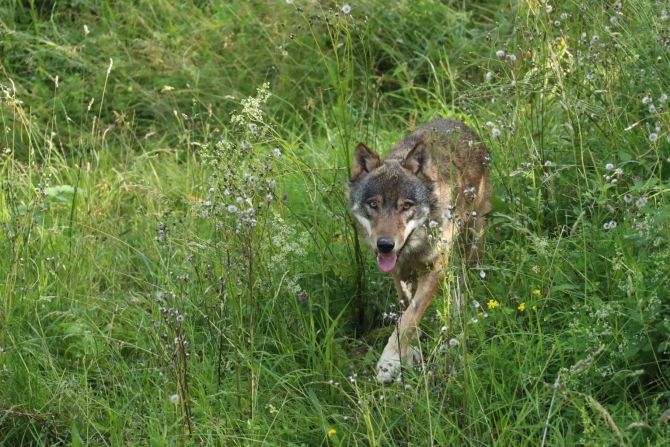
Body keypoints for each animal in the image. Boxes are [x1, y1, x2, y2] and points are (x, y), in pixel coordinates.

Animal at [348, 118, 492, 383]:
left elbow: (410, 317)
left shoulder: (435, 268)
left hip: (474, 239)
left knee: (468, 276)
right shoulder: (398, 272)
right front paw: (411, 351)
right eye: (373, 204)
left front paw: (390, 361)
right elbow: (408, 309)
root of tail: (458, 122)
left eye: (406, 206)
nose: (385, 245)